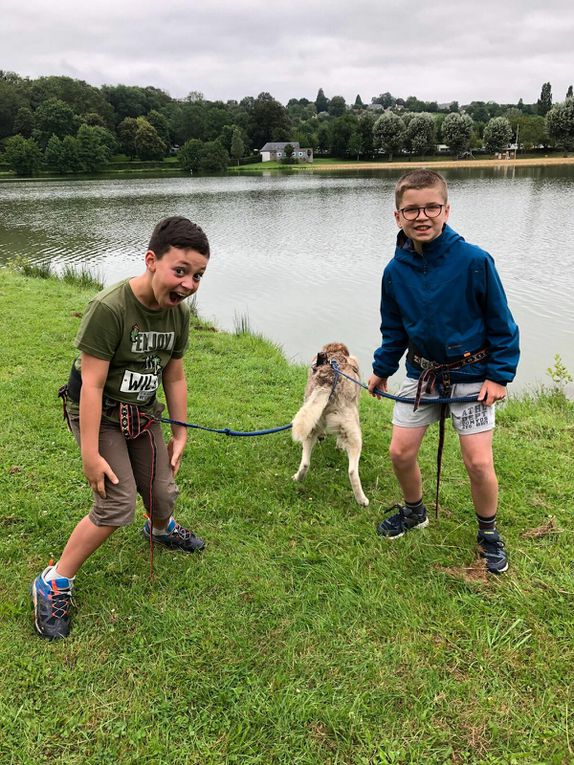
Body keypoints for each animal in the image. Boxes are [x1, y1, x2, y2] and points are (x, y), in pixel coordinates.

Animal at [292, 344, 368, 504]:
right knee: (352, 471)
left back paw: (298, 478)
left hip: (311, 427)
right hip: (354, 433)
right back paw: (362, 500)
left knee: (305, 463)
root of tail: (327, 382)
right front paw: (339, 445)